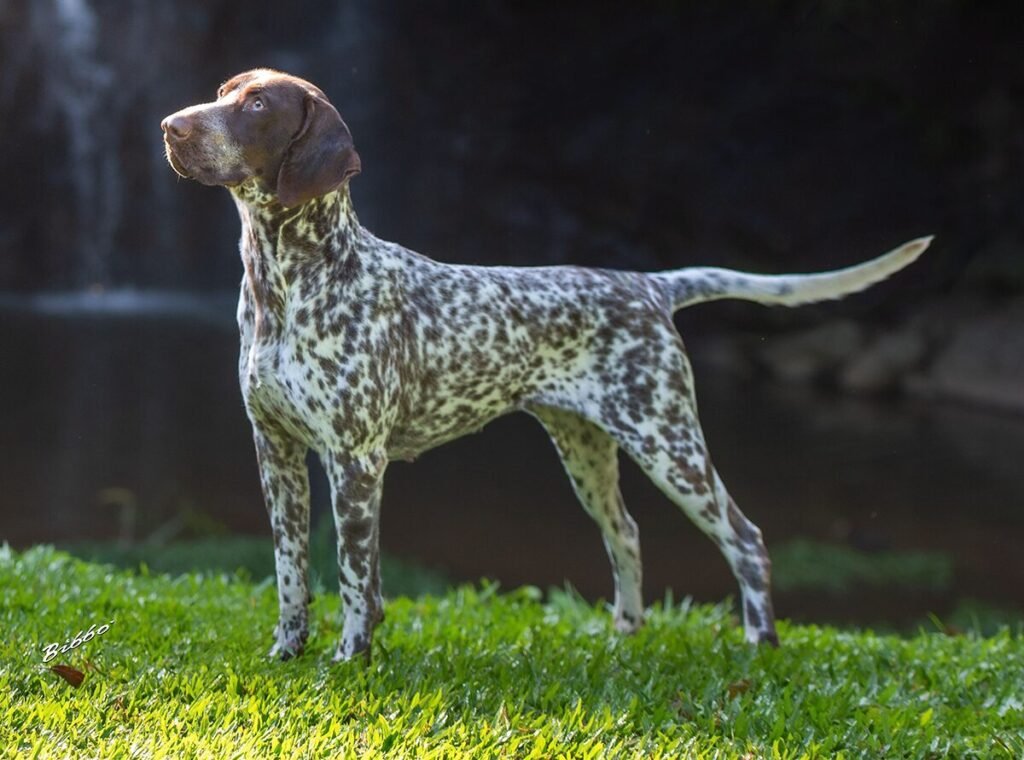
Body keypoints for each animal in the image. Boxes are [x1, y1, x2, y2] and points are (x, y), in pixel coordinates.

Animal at [162, 69, 930, 661]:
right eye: (223, 92)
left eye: (257, 107)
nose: (170, 125)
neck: (290, 283)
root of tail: (649, 285)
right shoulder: (277, 451)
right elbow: (292, 571)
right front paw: (288, 652)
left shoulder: (355, 460)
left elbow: (354, 577)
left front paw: (351, 658)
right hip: (586, 452)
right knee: (627, 534)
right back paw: (624, 636)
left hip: (669, 444)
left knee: (747, 539)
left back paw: (759, 644)